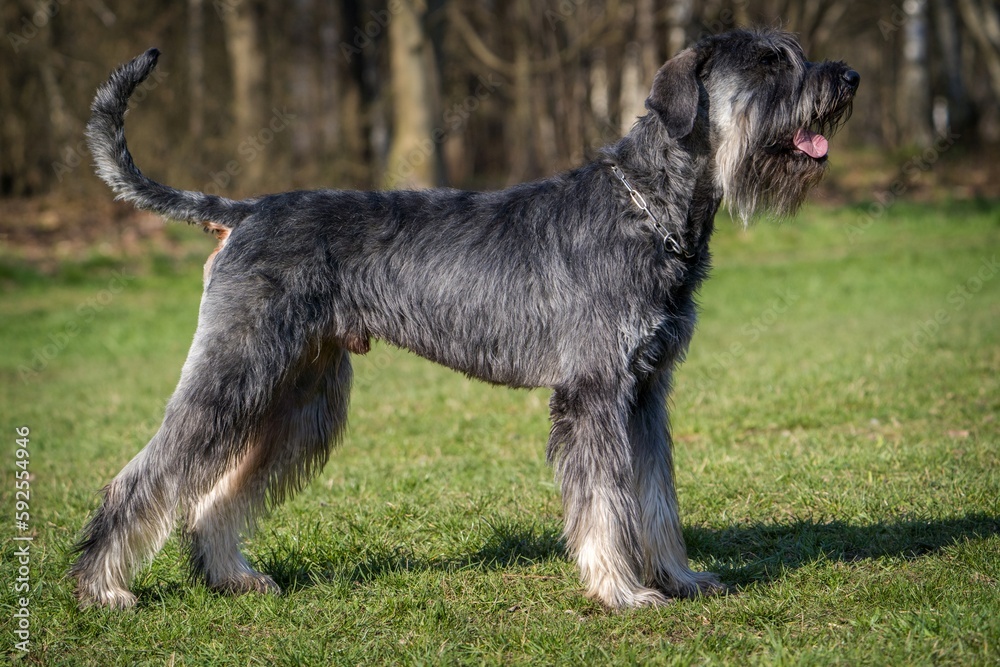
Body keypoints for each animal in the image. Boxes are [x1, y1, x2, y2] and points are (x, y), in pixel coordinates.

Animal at [70, 26, 856, 612]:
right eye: (769, 63)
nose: (847, 77)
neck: (650, 208)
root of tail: (245, 212)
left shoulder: (647, 392)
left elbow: (657, 496)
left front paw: (681, 578)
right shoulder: (596, 393)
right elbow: (608, 502)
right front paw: (623, 592)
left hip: (299, 397)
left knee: (217, 491)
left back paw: (232, 575)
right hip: (234, 373)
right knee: (145, 475)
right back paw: (102, 588)